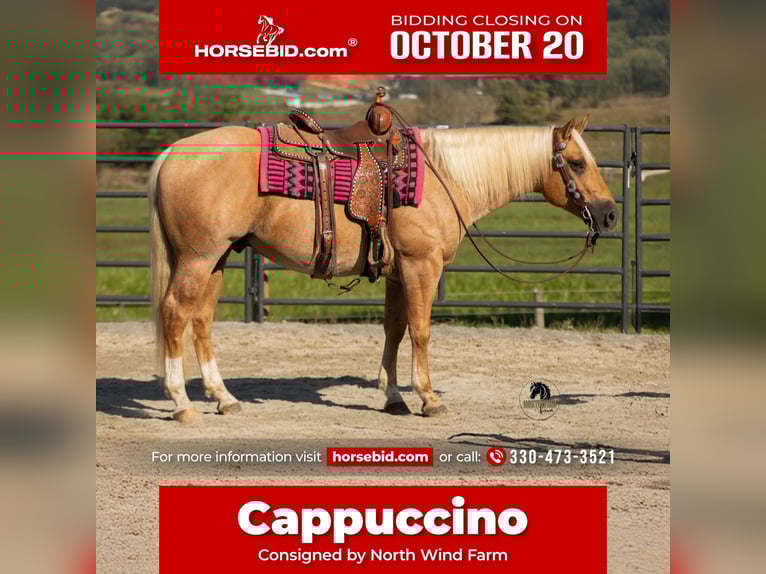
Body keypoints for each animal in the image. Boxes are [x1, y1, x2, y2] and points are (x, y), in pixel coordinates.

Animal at [147, 115, 618, 423]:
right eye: (577, 163)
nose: (610, 214)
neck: (444, 176)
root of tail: (173, 152)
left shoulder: (397, 271)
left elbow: (394, 329)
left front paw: (393, 397)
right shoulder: (421, 267)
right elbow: (421, 331)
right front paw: (428, 398)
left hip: (218, 258)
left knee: (201, 320)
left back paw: (223, 398)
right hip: (199, 257)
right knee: (176, 314)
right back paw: (182, 403)